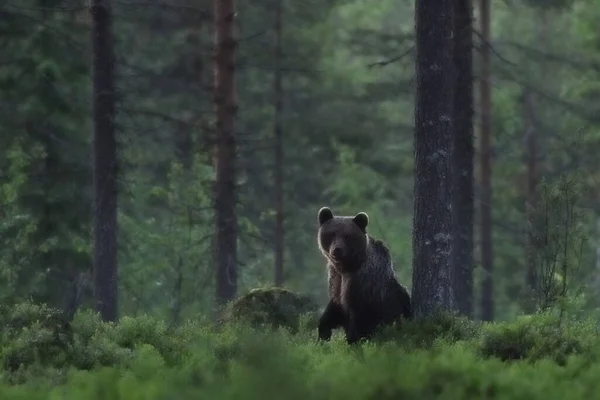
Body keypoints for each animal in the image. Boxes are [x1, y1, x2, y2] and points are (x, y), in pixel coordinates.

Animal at [316, 206, 410, 344]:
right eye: (332, 233)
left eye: (347, 235)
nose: (337, 249)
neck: (347, 267)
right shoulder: (336, 279)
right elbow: (334, 308)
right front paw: (323, 334)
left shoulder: (362, 286)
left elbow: (360, 321)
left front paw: (352, 341)